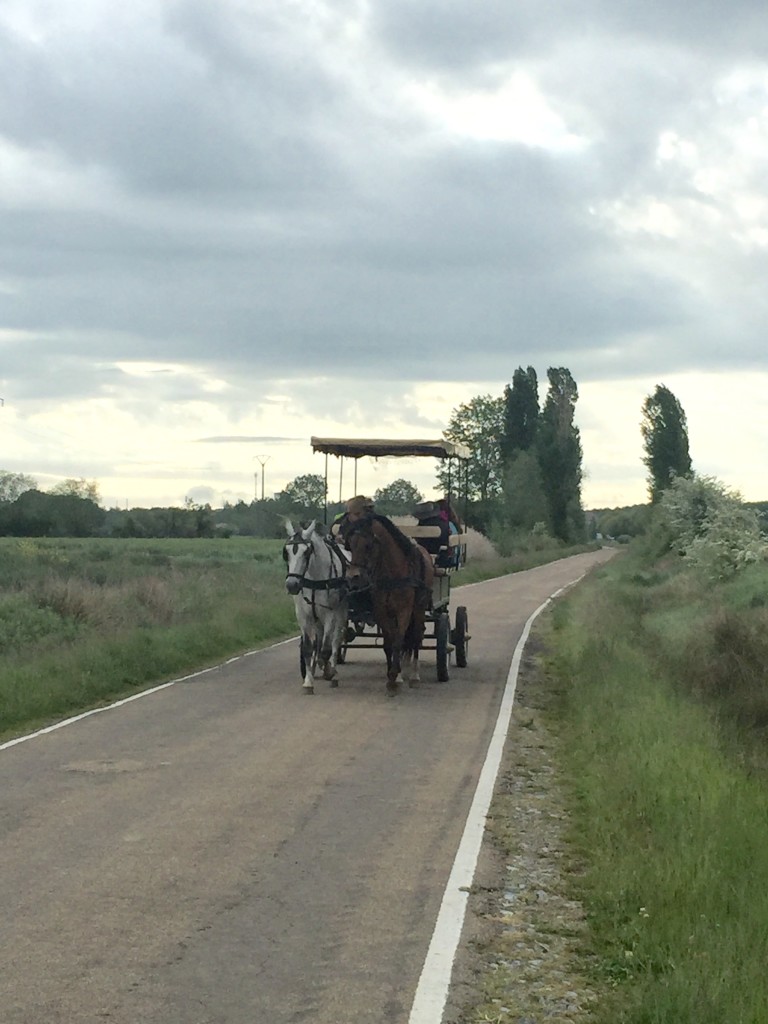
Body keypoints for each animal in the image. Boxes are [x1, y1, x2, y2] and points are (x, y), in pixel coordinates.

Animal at [342, 512, 434, 696]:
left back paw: (414, 675)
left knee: (416, 636)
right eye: (351, 546)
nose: (352, 577)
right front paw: (393, 677)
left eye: (368, 545)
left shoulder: (404, 610)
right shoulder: (382, 612)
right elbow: (388, 643)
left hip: (419, 608)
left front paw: (394, 676)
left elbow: (399, 640)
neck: (393, 575)